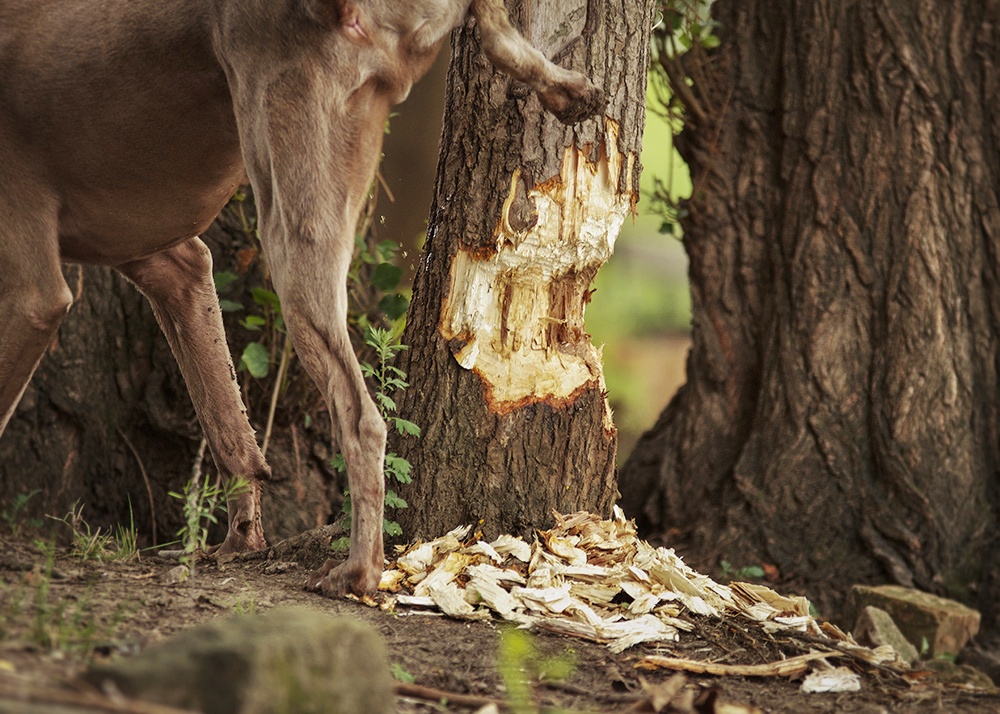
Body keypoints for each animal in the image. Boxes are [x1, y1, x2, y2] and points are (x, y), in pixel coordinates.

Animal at [0, 0, 604, 596]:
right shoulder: (173, 265)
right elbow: (228, 428)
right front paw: (241, 543)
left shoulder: (35, 295)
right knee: (495, 26)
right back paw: (569, 90)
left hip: (289, 215)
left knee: (363, 420)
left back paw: (359, 571)